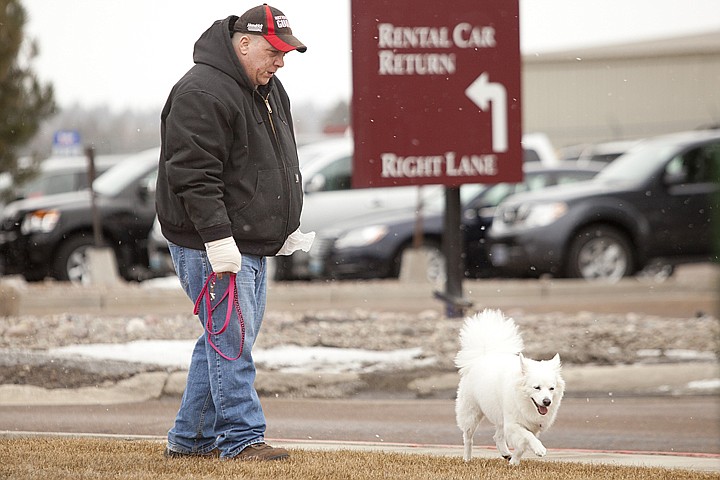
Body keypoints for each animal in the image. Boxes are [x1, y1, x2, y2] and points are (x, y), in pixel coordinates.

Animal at [456, 310, 564, 464]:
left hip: (500, 417)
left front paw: (514, 462)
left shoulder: (529, 425)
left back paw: (506, 453)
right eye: (536, 387)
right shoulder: (513, 424)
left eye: (551, 389)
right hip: (471, 413)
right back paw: (467, 458)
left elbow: (522, 445)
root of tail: (484, 356)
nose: (547, 401)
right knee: (468, 438)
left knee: (497, 436)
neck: (523, 400)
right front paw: (539, 448)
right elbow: (527, 436)